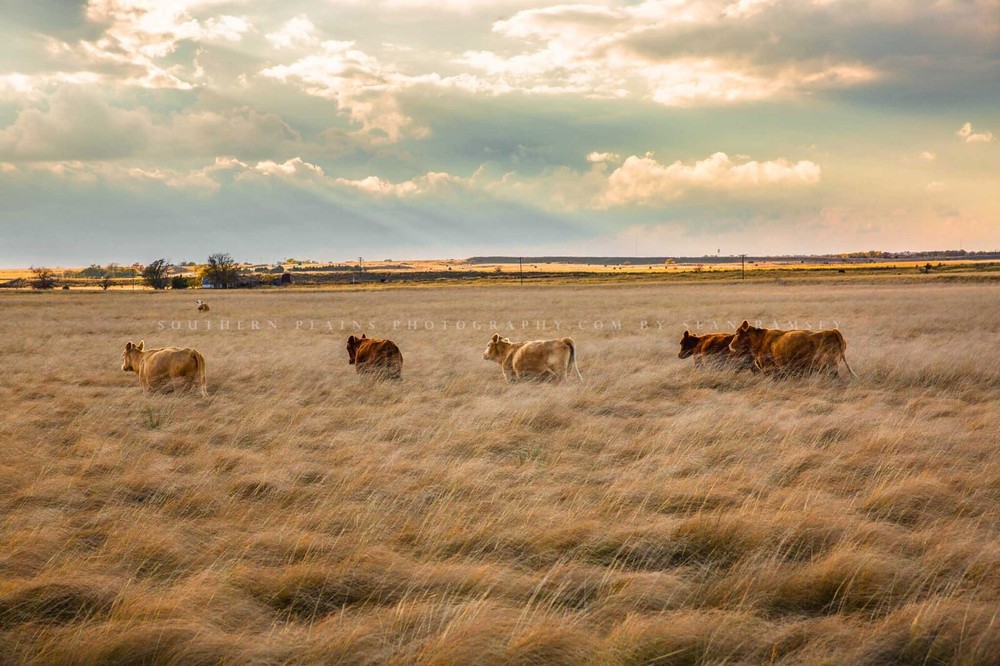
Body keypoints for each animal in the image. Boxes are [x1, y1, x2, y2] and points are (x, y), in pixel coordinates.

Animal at [729, 321, 858, 378]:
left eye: (737, 333)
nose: (730, 345)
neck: (761, 339)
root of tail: (832, 331)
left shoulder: (769, 369)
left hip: (830, 366)